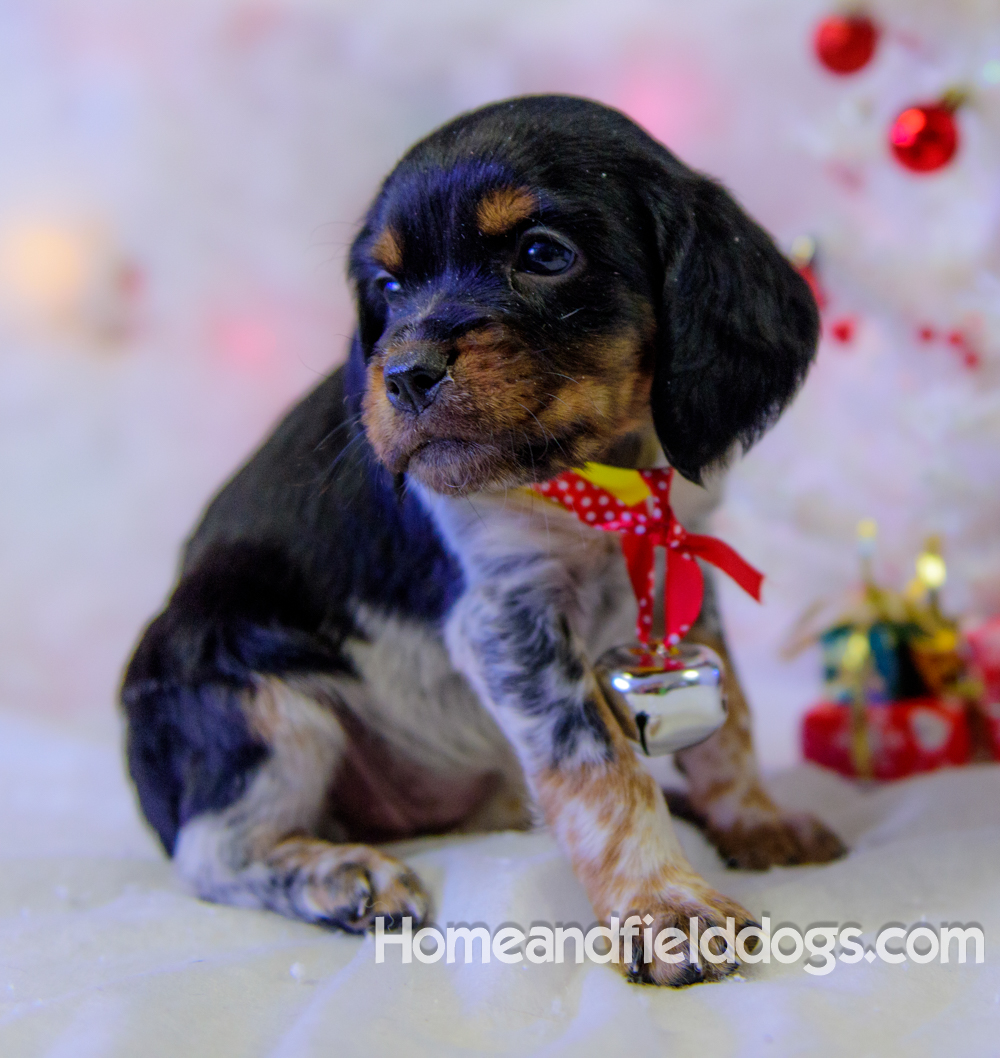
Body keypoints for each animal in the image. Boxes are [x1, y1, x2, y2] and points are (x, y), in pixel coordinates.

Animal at [122, 95, 842, 986]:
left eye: (543, 253)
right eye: (389, 286)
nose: (403, 375)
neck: (604, 475)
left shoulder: (682, 567)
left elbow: (731, 720)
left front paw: (751, 818)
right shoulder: (510, 620)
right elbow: (597, 764)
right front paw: (663, 906)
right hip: (252, 688)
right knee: (212, 850)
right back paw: (342, 874)